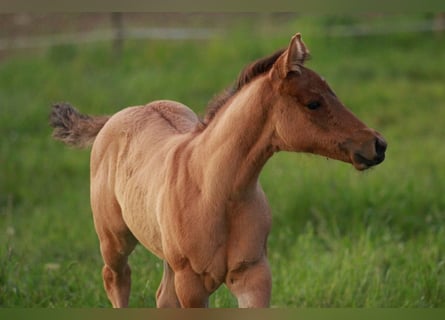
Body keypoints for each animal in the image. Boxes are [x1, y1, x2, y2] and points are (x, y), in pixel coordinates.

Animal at [49, 32, 386, 308]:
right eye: (313, 103)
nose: (377, 144)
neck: (217, 191)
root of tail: (115, 118)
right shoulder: (192, 284)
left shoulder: (253, 276)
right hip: (114, 239)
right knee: (116, 280)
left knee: (162, 297)